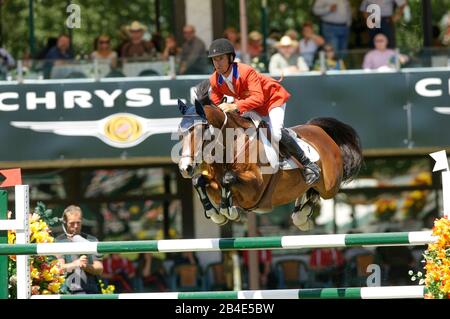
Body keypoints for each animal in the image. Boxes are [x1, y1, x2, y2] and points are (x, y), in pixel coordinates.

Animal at [176, 81, 362, 231]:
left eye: (202, 129)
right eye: (180, 132)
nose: (185, 168)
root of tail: (319, 130)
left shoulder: (255, 189)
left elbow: (228, 179)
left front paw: (227, 210)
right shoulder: (213, 182)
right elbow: (198, 181)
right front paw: (217, 214)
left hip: (329, 186)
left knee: (318, 192)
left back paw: (305, 203)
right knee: (307, 191)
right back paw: (301, 214)